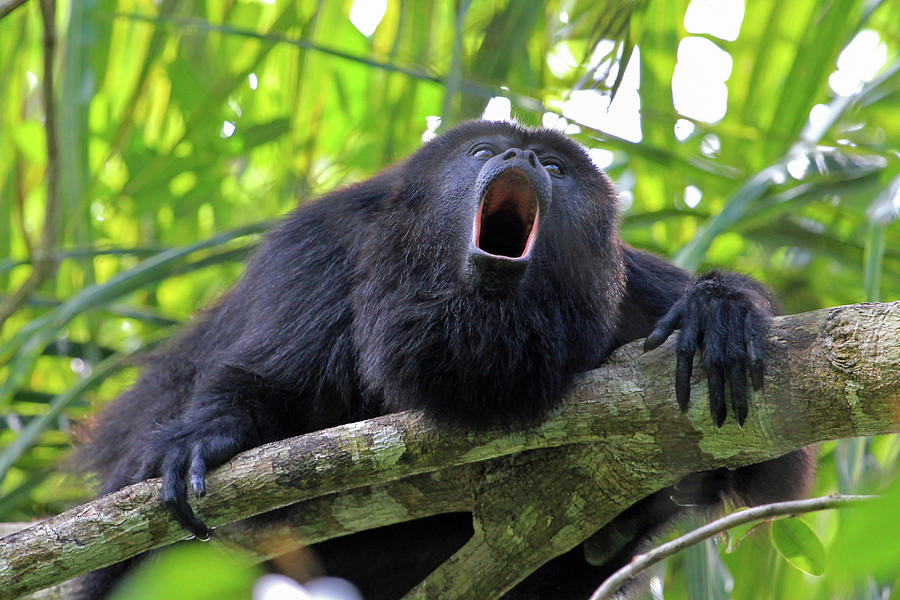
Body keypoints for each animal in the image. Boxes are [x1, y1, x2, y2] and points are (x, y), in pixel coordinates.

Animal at [75, 119, 816, 596]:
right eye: (485, 150)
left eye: (554, 167)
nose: (519, 157)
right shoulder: (319, 247)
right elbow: (264, 379)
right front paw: (209, 435)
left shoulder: (632, 292)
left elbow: (772, 460)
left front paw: (718, 311)